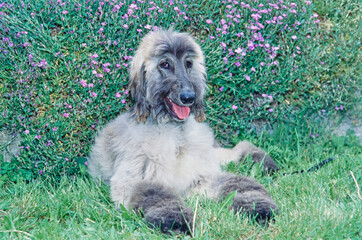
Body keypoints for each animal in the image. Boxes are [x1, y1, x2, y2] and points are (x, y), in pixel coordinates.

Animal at [87, 29, 280, 233]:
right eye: (164, 64)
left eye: (188, 63)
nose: (189, 97)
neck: (174, 131)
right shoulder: (134, 179)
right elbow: (156, 195)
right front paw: (176, 221)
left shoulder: (201, 176)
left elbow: (239, 184)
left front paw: (260, 209)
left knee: (234, 151)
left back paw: (262, 161)